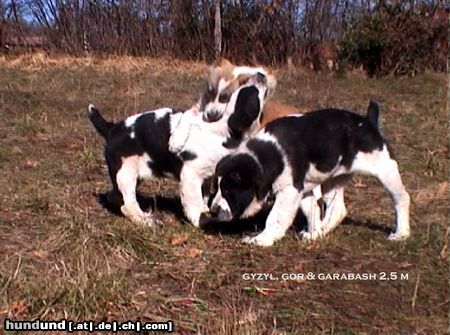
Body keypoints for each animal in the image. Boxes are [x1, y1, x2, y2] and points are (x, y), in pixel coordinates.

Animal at [87, 72, 270, 227]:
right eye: (251, 91)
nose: (260, 74)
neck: (223, 130)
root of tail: (111, 129)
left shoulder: (208, 175)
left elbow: (203, 197)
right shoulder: (191, 174)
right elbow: (194, 201)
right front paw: (200, 219)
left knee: (116, 197)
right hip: (126, 175)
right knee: (127, 204)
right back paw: (146, 221)